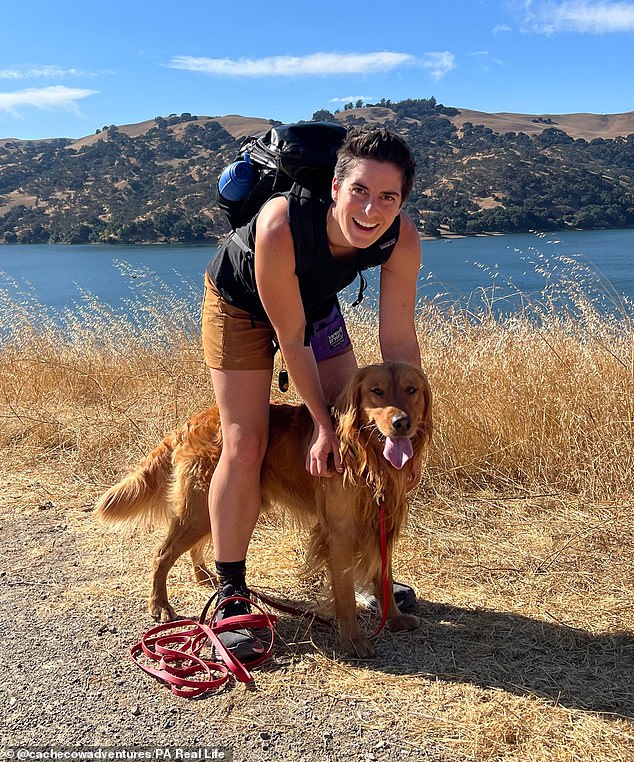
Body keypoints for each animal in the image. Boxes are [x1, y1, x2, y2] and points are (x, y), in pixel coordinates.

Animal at [95, 360, 430, 652]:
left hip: (201, 510)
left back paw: (204, 575)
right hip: (202, 506)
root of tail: (192, 422)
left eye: (411, 389)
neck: (366, 458)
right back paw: (161, 604)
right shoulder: (339, 531)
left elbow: (383, 577)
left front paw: (394, 619)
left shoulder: (382, 523)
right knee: (162, 554)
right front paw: (353, 640)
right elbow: (345, 593)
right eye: (377, 391)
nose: (402, 423)